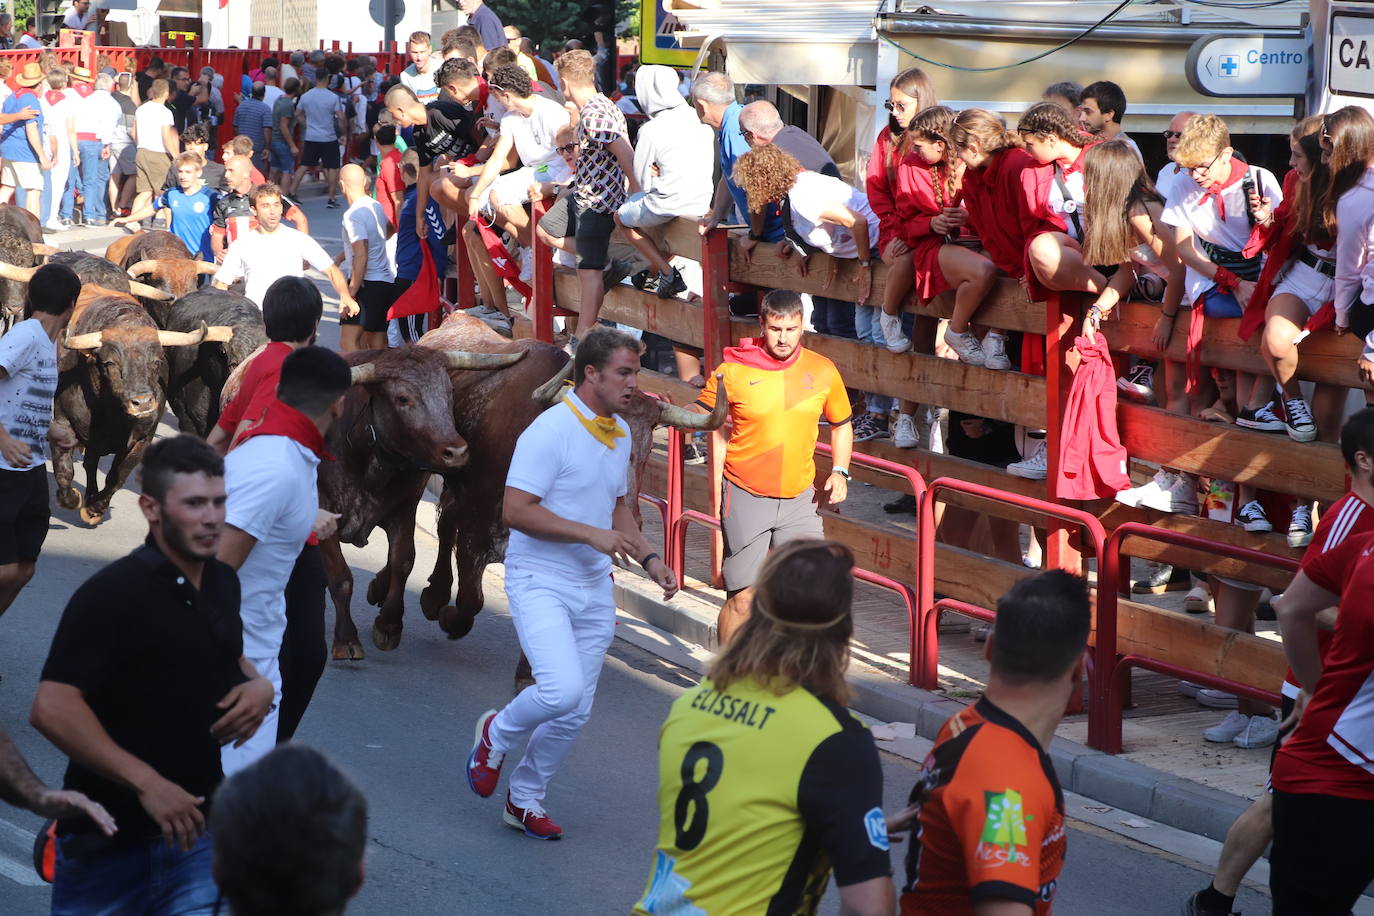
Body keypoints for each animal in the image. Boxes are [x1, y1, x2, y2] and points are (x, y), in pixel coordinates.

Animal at [52, 287, 230, 530]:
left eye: (156, 361)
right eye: (110, 362)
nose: (143, 402)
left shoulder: (142, 439)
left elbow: (117, 477)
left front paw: (94, 509)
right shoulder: (62, 422)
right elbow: (64, 469)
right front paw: (71, 499)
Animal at [343, 315, 725, 659]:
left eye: (645, 453)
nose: (628, 519)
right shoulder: (478, 521)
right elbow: (471, 598)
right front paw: (449, 614)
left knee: (443, 522)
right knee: (443, 527)